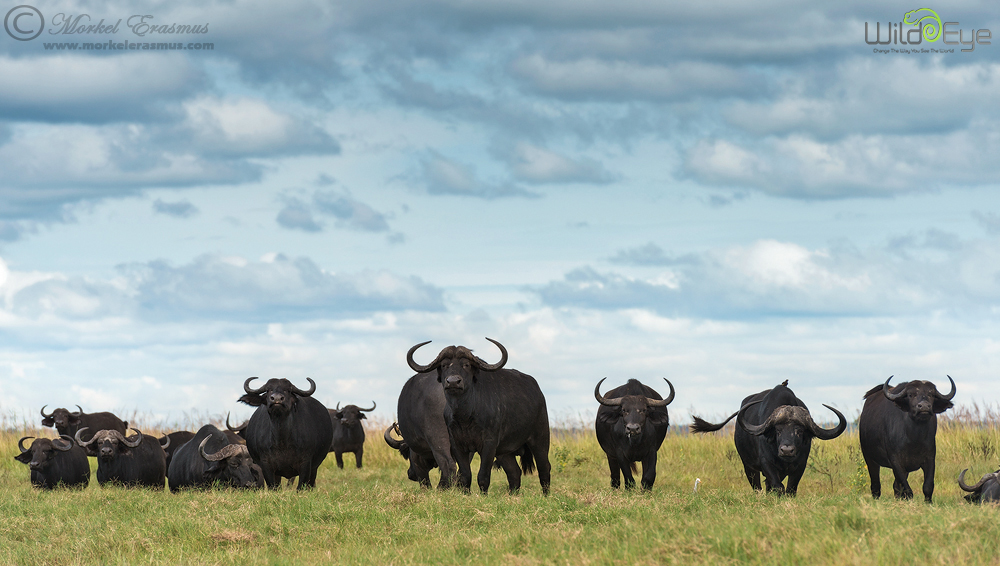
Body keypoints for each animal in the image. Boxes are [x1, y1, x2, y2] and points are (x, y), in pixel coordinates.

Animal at [407, 338, 551, 495]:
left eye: (466, 365)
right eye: (444, 365)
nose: (453, 382)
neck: (465, 416)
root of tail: (538, 392)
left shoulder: (489, 444)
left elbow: (483, 475)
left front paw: (483, 495)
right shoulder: (457, 445)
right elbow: (465, 475)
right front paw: (466, 494)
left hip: (540, 438)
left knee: (544, 467)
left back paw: (546, 495)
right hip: (505, 451)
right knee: (514, 472)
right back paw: (513, 495)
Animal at [691, 381, 846, 496]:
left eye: (799, 431)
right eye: (778, 430)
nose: (786, 450)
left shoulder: (800, 465)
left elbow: (790, 489)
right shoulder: (766, 463)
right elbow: (778, 486)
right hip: (748, 467)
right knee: (757, 487)